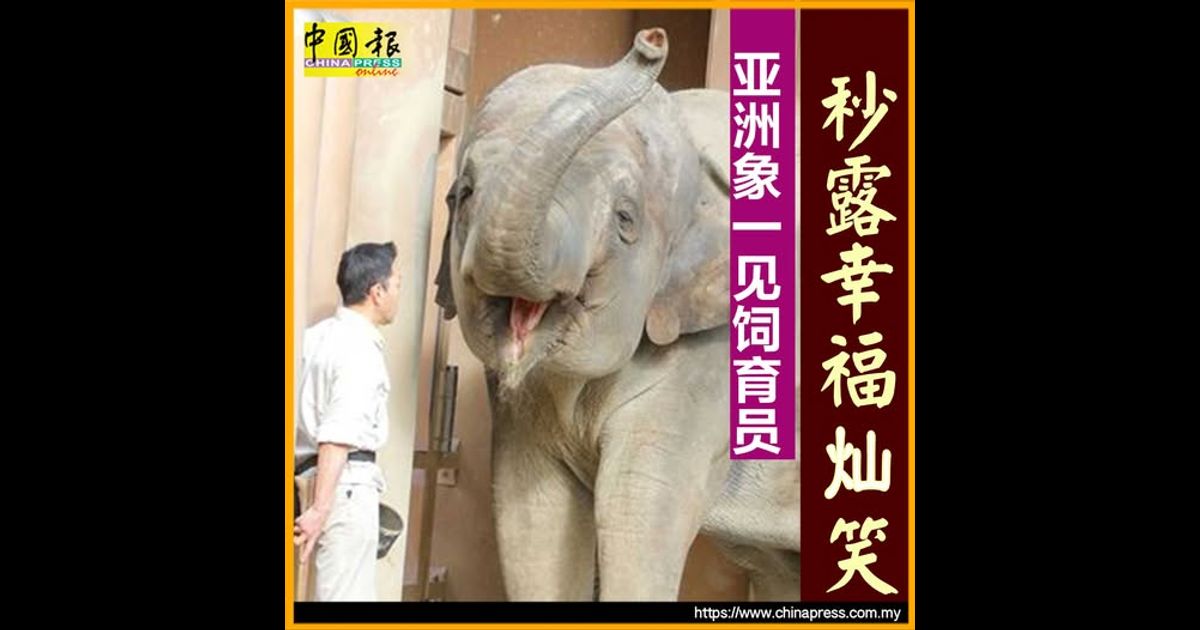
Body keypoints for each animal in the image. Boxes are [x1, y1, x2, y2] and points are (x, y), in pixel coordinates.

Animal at [434, 28, 800, 601]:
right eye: (465, 193)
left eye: (626, 219)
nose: (652, 40)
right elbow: (531, 510)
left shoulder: (713, 361)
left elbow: (639, 505)